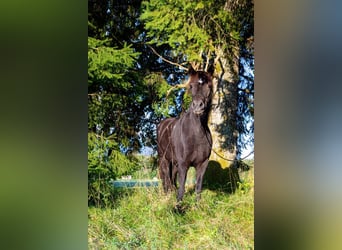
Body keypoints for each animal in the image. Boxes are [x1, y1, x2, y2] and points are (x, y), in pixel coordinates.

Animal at [158, 65, 214, 202]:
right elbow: (182, 188)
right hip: (164, 158)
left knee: (171, 178)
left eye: (209, 86)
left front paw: (197, 205)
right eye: (191, 86)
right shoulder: (183, 164)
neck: (196, 134)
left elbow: (198, 188)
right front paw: (178, 205)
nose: (198, 106)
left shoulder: (202, 165)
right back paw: (166, 195)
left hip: (174, 162)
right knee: (165, 177)